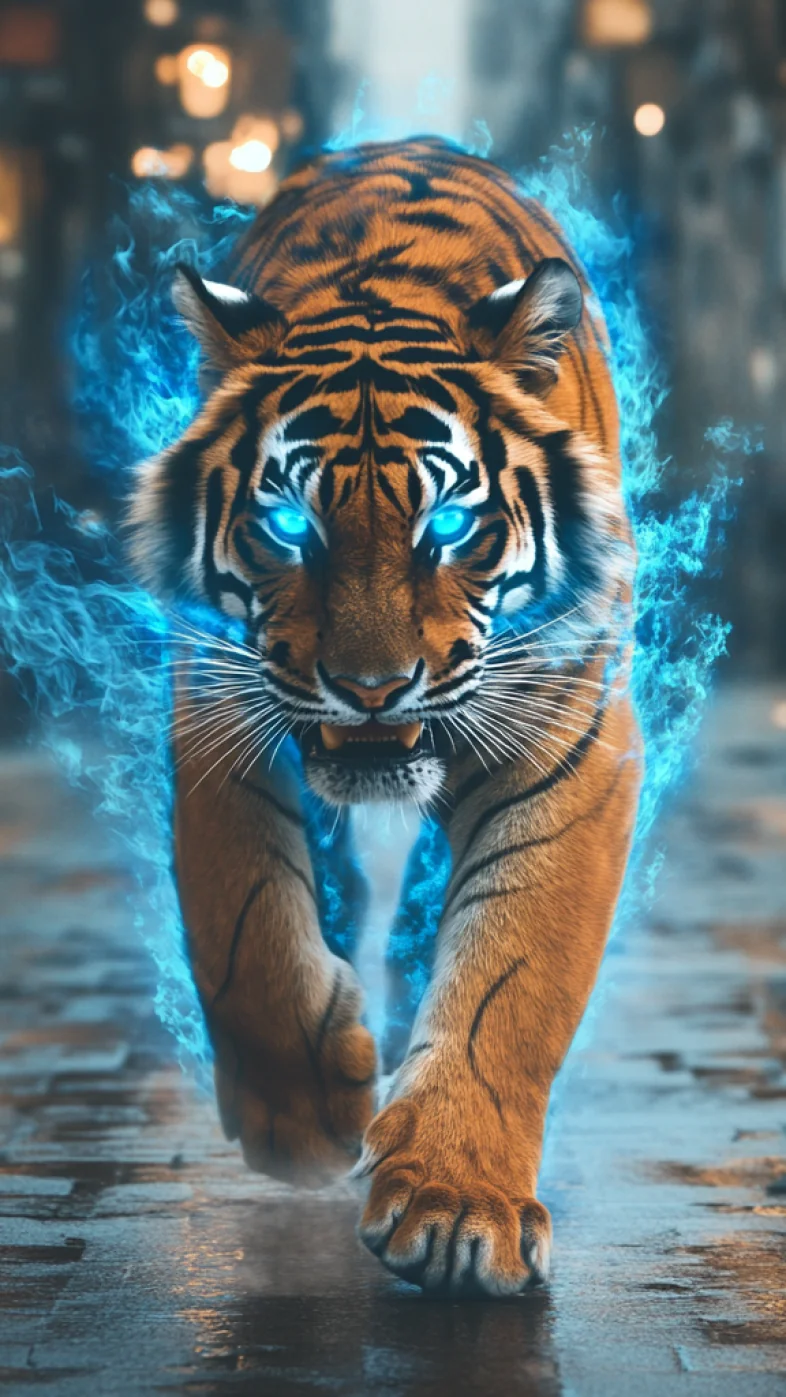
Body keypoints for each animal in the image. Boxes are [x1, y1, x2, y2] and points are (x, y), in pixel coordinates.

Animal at [128, 136, 642, 1296]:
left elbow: (512, 970)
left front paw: (457, 1201)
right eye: (288, 522)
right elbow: (240, 921)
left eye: (447, 526)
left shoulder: (568, 732)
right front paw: (305, 1118)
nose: (372, 687)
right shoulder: (213, 698)